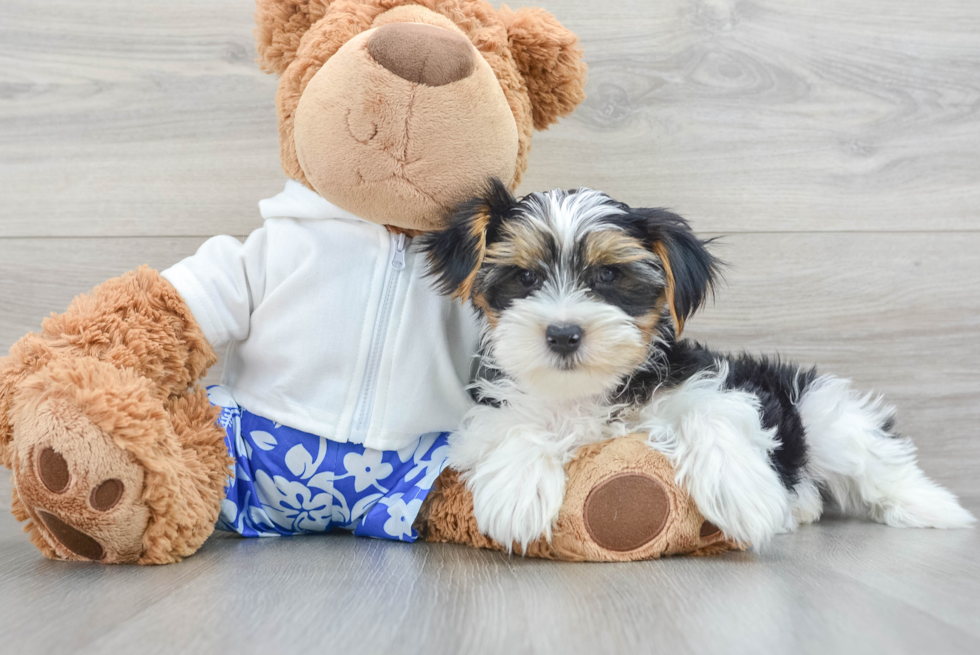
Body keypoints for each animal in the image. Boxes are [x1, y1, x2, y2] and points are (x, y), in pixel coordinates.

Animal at [420, 181, 972, 552]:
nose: (562, 334)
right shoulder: (490, 411)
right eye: (525, 277)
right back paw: (803, 507)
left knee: (871, 457)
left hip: (816, 407)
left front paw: (741, 492)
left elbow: (713, 410)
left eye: (608, 275)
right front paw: (518, 491)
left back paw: (934, 508)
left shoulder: (715, 386)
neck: (592, 389)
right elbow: (514, 425)